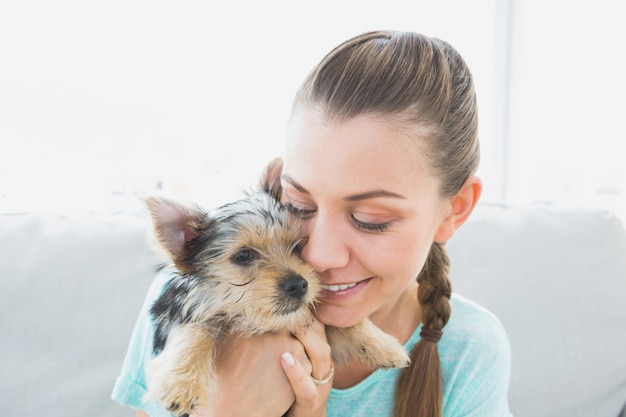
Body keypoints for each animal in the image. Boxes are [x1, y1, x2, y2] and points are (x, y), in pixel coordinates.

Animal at [141, 160, 410, 416]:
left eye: (298, 247)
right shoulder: (176, 312)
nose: (299, 285)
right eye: (244, 256)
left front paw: (384, 345)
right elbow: (195, 330)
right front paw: (182, 383)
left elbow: (345, 322)